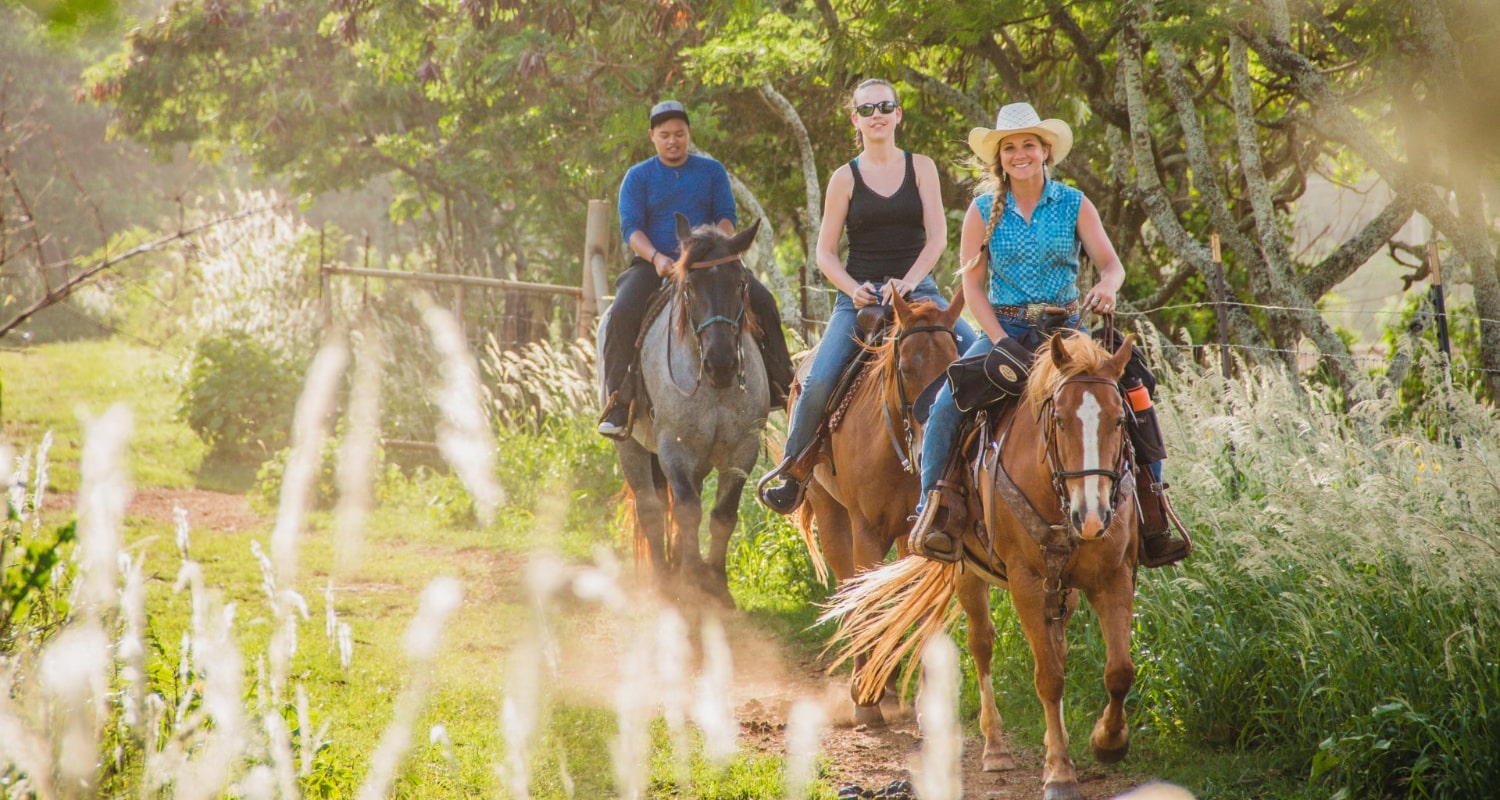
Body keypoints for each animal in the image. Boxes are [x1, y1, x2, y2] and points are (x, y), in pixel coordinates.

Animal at [597, 214, 768, 603]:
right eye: (690, 286)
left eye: (740, 283)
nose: (721, 363)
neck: (713, 389)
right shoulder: (674, 448)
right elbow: (688, 511)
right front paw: (691, 581)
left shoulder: (743, 450)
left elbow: (723, 514)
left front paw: (716, 585)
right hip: (632, 448)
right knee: (651, 507)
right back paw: (664, 579)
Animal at [792, 288, 966, 723]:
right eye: (904, 368)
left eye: (954, 369)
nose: (928, 450)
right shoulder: (866, 530)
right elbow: (865, 597)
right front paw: (865, 697)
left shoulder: (924, 534)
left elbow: (917, 607)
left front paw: (923, 701)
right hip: (830, 513)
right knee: (849, 586)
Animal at [822, 330, 1134, 798]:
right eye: (1060, 421)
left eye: (1118, 420)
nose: (1093, 516)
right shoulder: (1025, 581)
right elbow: (1049, 676)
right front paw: (1060, 772)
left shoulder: (1113, 577)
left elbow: (1118, 671)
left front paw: (1107, 741)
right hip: (968, 574)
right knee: (982, 645)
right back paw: (995, 747)